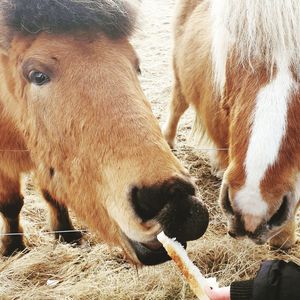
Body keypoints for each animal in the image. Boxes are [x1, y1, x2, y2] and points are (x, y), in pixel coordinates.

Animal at [0, 0, 209, 268]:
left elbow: (53, 195)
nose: (176, 202)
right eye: (37, 75)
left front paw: (66, 234)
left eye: (136, 66)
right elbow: (11, 204)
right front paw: (13, 247)